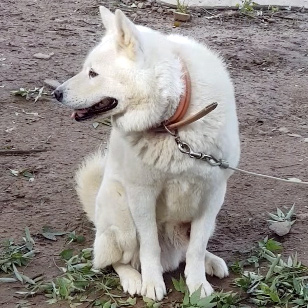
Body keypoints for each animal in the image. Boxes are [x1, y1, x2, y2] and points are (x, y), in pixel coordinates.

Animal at [53, 6, 241, 300]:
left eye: (93, 73)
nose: (55, 93)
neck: (174, 124)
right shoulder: (142, 195)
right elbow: (149, 246)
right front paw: (152, 284)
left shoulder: (213, 194)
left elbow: (196, 248)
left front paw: (198, 285)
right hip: (121, 212)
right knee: (117, 261)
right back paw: (133, 278)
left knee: (186, 250)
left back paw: (210, 260)